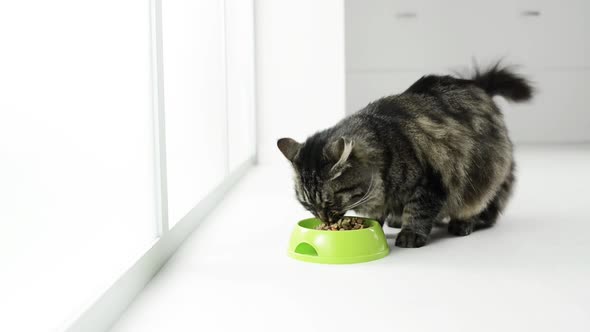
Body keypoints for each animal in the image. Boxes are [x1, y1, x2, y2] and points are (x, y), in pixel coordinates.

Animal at [278, 63, 536, 248]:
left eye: (329, 202)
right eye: (307, 204)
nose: (325, 221)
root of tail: (477, 86)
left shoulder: (430, 182)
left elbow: (418, 211)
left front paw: (410, 234)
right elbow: (379, 214)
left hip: (483, 176)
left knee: (486, 207)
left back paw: (463, 223)